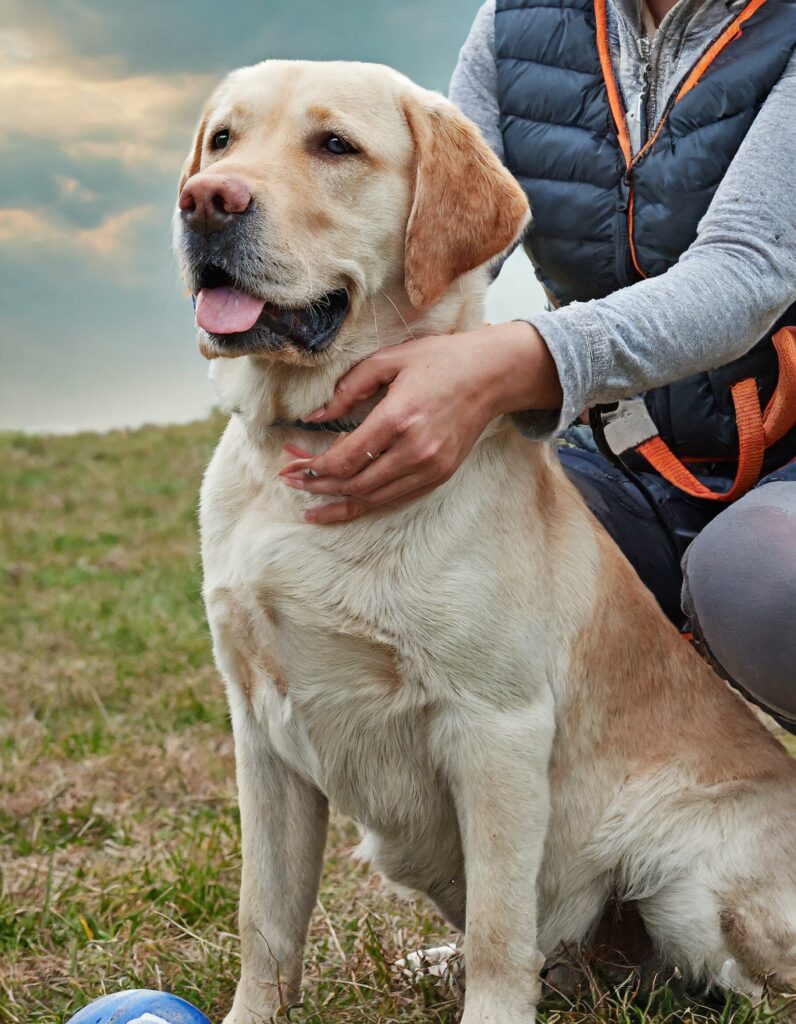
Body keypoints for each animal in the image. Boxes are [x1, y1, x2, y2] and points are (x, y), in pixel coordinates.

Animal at [174, 59, 794, 1019]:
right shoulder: (260, 732)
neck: (307, 439)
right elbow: (266, 918)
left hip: (686, 879)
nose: (206, 201)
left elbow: (502, 930)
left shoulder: (495, 727)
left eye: (335, 145)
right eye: (223, 140)